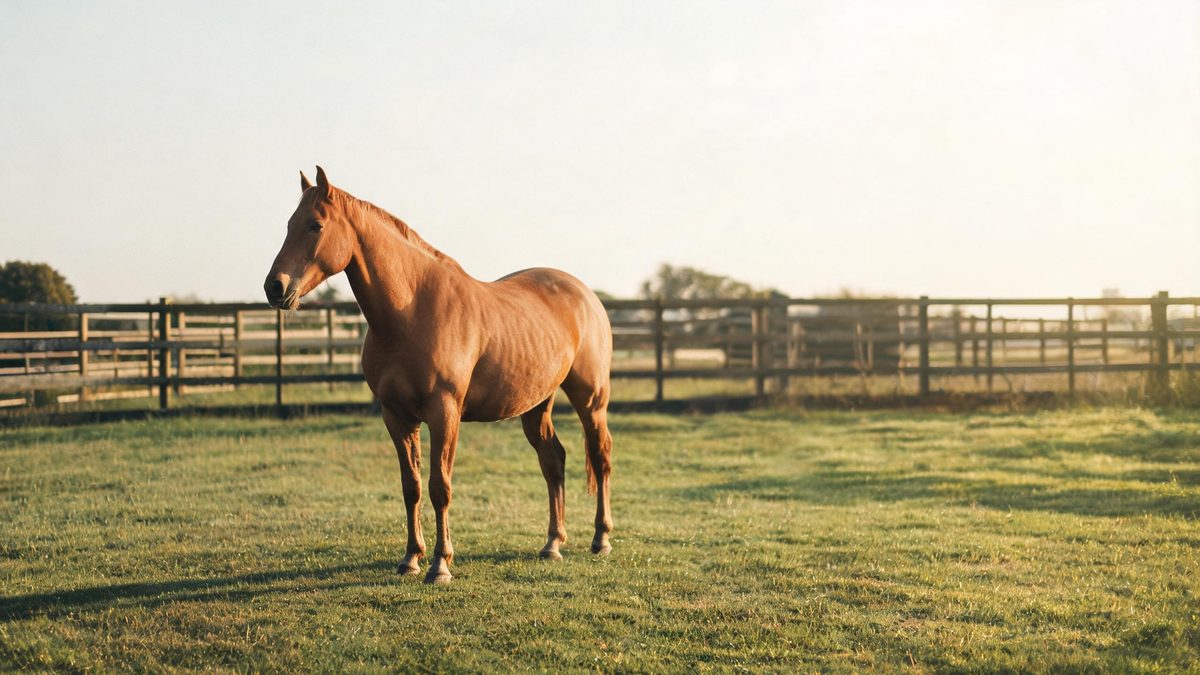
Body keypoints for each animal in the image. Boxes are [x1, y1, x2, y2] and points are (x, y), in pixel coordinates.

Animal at [264, 167, 614, 584]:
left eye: (315, 225)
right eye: (288, 224)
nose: (275, 287)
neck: (410, 311)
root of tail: (586, 295)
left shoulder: (444, 413)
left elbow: (439, 486)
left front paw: (440, 565)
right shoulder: (397, 416)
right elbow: (411, 487)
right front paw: (411, 558)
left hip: (590, 399)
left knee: (600, 456)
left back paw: (601, 539)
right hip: (536, 405)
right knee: (553, 460)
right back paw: (552, 544)